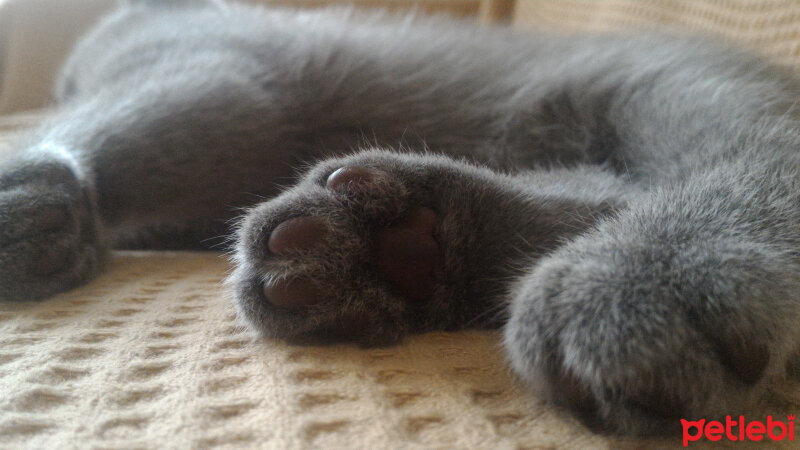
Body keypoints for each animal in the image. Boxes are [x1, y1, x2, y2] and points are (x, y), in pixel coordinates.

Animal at [3, 0, 796, 436]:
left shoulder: (222, 76)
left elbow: (119, 133)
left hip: (671, 88)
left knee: (751, 157)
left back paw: (648, 271)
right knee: (599, 193)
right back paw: (394, 249)